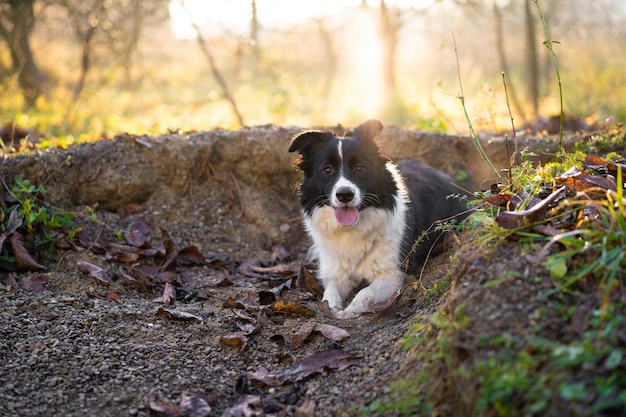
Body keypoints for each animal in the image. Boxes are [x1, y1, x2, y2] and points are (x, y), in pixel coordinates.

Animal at [288, 118, 464, 316]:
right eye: (327, 170)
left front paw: (348, 312)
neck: (352, 228)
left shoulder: (393, 274)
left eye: (360, 168)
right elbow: (330, 293)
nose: (345, 195)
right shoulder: (336, 273)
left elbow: (365, 293)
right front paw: (332, 308)